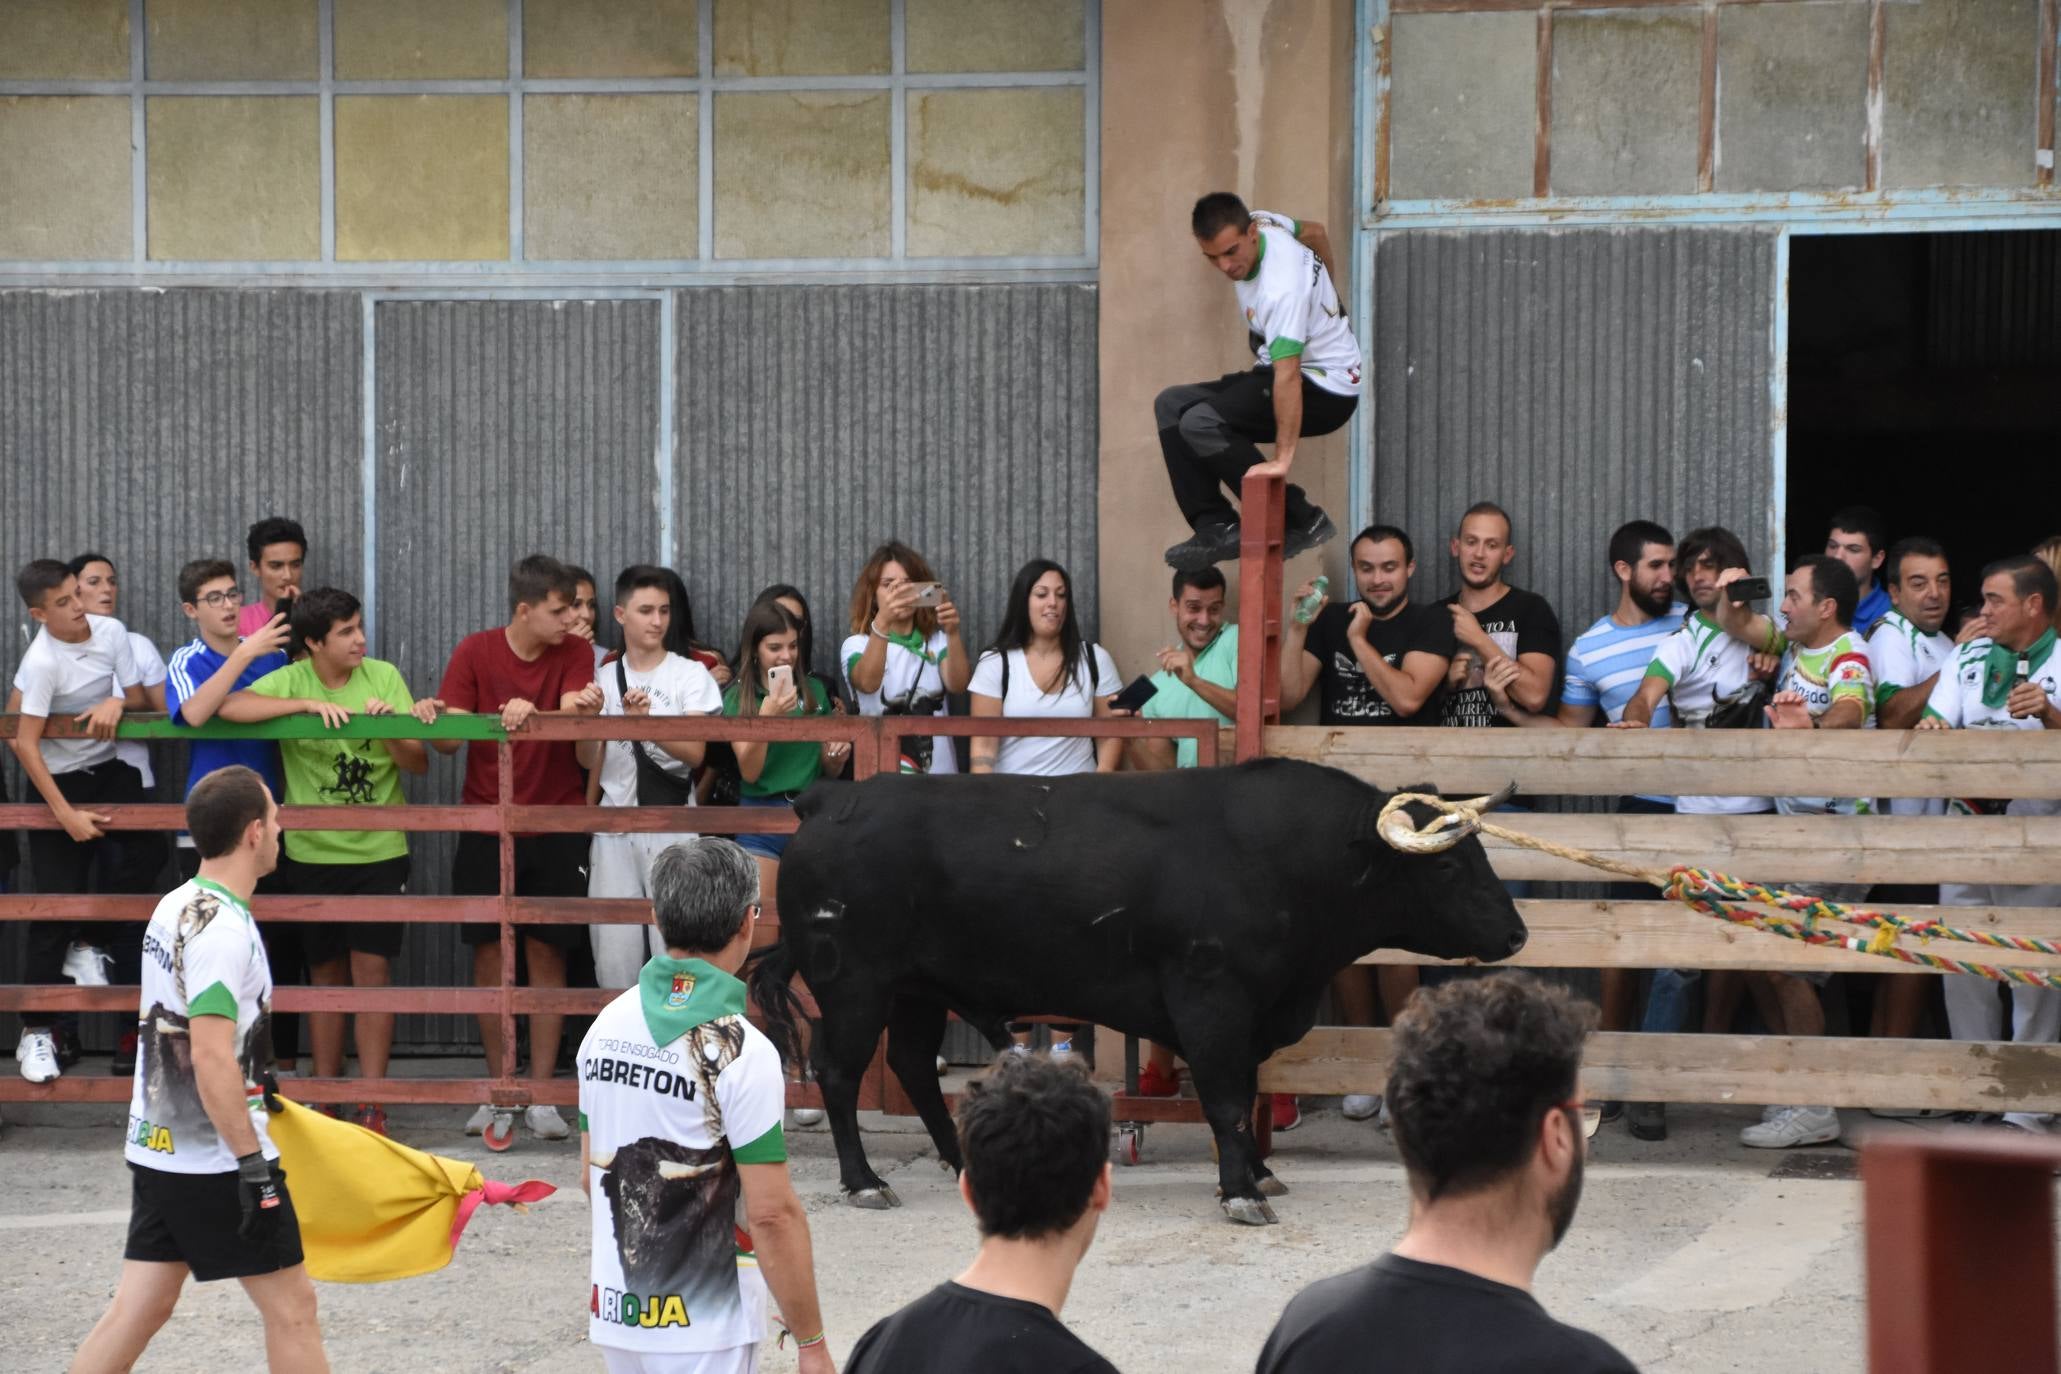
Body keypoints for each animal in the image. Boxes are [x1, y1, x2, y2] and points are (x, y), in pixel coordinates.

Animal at [750, 762, 1525, 1227]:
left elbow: (1244, 1092)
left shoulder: (1249, 1014)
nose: (1517, 933)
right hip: (855, 985)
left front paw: (1259, 1172)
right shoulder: (1210, 1000)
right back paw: (863, 1181)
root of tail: (831, 798)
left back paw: (959, 1161)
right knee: (840, 1074)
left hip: (918, 989)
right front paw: (1241, 1191)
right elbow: (1224, 1098)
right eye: (1449, 866)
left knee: (910, 1065)